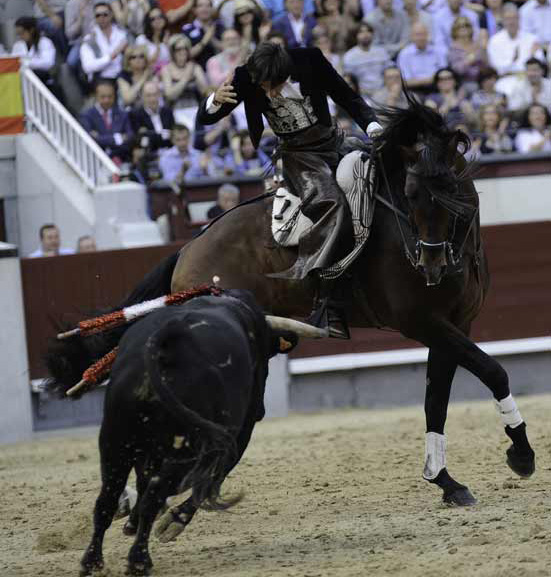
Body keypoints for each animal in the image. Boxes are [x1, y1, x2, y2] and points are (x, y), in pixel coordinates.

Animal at [76, 292, 298, 576]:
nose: (261, 410)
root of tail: (167, 342)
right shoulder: (238, 434)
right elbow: (214, 477)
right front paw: (172, 523)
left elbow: (142, 481)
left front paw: (134, 524)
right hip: (187, 447)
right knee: (155, 496)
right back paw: (139, 560)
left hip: (114, 441)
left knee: (107, 499)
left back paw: (92, 562)